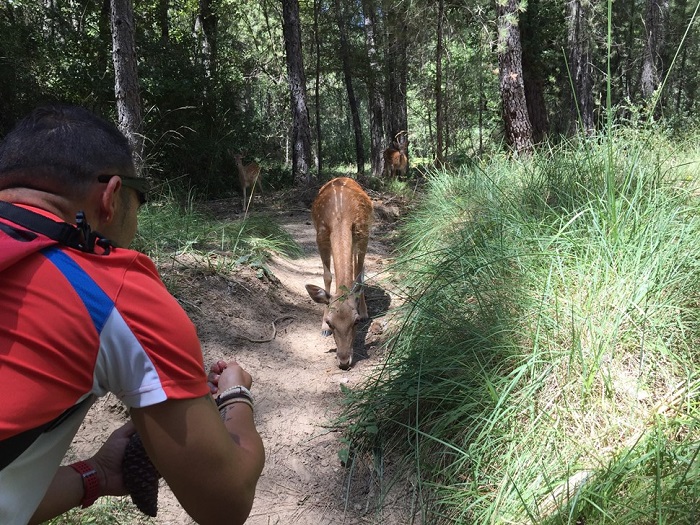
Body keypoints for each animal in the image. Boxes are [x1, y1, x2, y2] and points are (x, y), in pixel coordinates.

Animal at [304, 176, 374, 368]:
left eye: (355, 321)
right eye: (330, 322)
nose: (343, 361)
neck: (340, 216)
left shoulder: (362, 233)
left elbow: (359, 274)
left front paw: (364, 312)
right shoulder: (320, 235)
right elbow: (327, 276)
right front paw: (323, 329)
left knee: (357, 268)